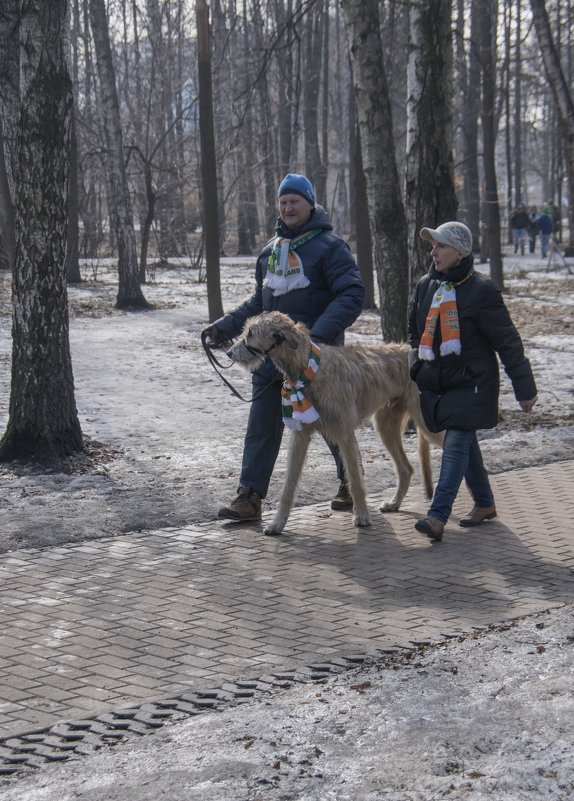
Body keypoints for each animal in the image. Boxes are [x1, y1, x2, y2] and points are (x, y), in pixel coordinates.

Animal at [227, 310, 444, 536]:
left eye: (251, 333)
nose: (229, 353)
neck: (308, 367)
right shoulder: (300, 435)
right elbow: (289, 484)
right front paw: (277, 523)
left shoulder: (344, 433)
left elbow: (355, 479)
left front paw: (362, 515)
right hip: (386, 425)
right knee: (406, 468)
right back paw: (394, 503)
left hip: (426, 422)